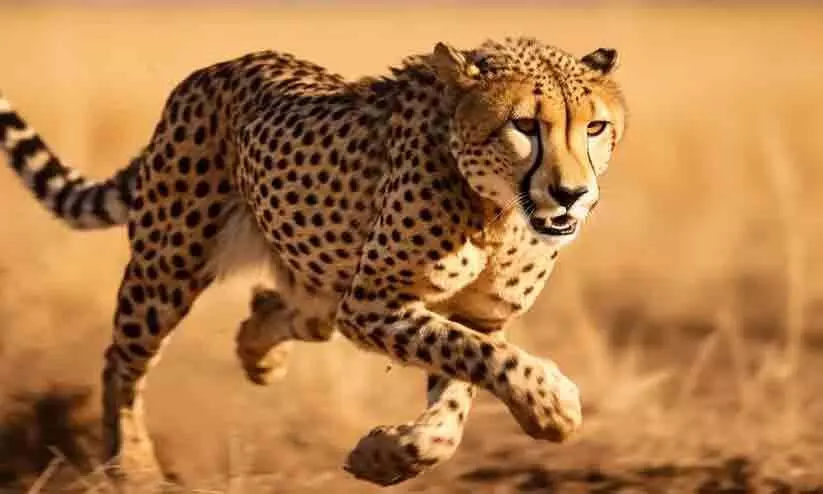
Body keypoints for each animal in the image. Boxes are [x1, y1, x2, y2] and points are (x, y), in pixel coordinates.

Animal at [0, 37, 626, 488]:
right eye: (525, 125)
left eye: (595, 127)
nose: (571, 194)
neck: (497, 213)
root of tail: (218, 68)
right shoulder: (374, 303)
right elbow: (485, 359)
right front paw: (553, 407)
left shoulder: (475, 315)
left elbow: (454, 403)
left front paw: (385, 457)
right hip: (167, 265)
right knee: (122, 362)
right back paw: (131, 466)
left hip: (317, 275)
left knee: (285, 309)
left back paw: (258, 351)